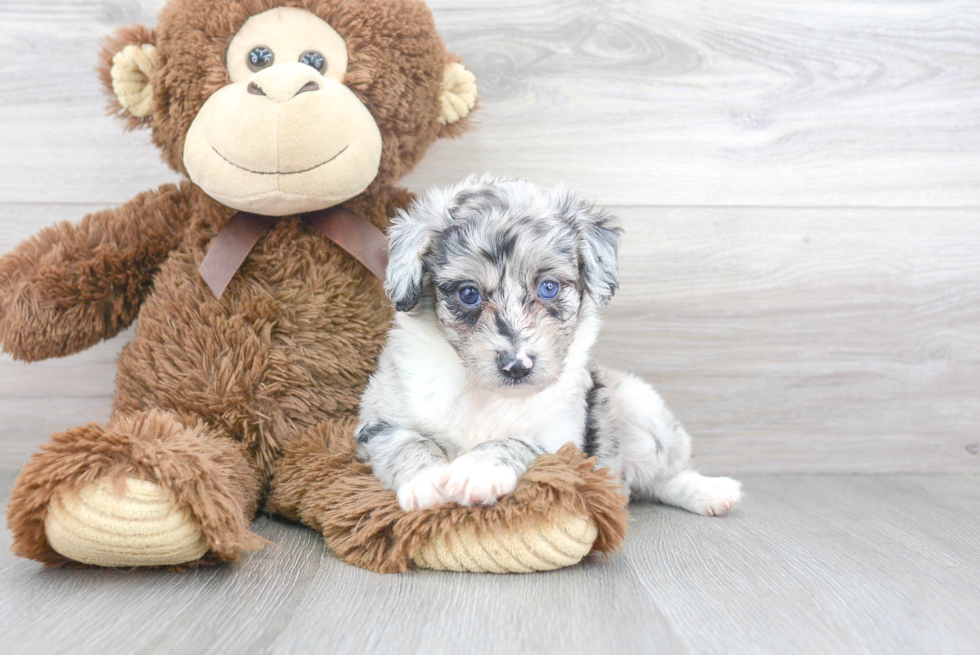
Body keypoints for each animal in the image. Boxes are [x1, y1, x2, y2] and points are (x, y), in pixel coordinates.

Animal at [356, 177, 740, 516]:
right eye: (468, 293)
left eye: (549, 287)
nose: (517, 366)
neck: (486, 395)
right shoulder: (377, 423)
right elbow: (411, 443)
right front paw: (430, 482)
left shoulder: (562, 436)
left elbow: (515, 441)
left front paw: (476, 470)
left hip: (641, 406)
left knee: (662, 478)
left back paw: (711, 492)